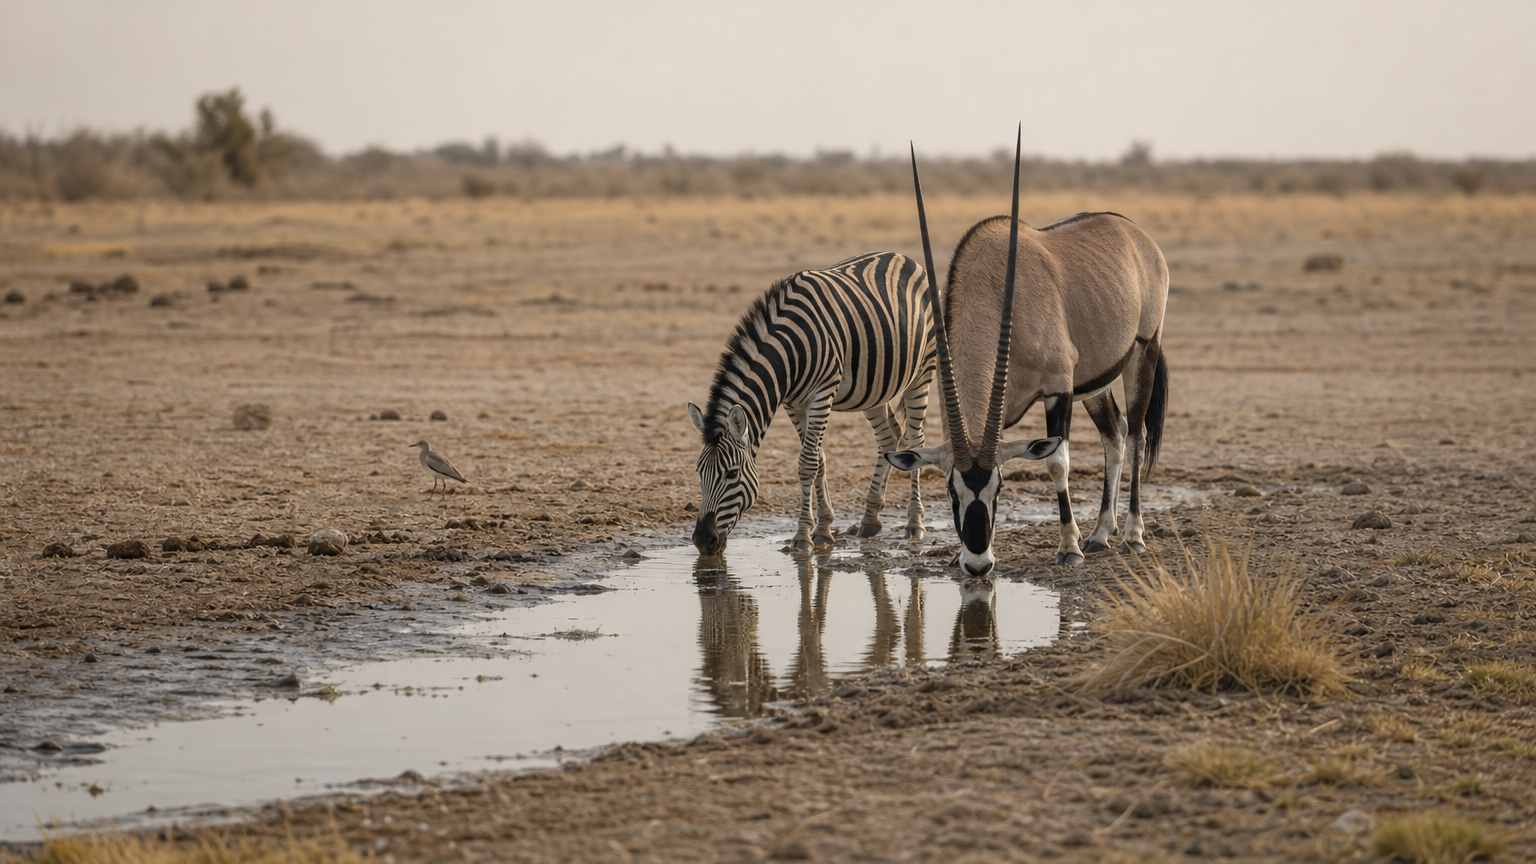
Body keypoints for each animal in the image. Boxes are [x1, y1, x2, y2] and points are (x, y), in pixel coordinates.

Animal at [689, 251, 936, 555]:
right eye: (699, 472)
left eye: (732, 474)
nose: (703, 540)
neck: (789, 351)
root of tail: (903, 256)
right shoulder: (794, 404)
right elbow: (819, 460)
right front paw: (823, 530)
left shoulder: (821, 393)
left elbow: (807, 463)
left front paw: (803, 537)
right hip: (876, 387)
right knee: (889, 438)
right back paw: (870, 519)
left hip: (922, 373)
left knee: (914, 440)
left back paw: (914, 524)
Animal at [888, 129, 1170, 575]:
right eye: (951, 492)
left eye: (999, 488)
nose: (978, 564)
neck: (992, 288)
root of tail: (1134, 233)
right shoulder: (1005, 410)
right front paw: (957, 554)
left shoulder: (1057, 389)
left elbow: (1057, 462)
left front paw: (1068, 547)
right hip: (1092, 384)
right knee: (1115, 433)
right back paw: (1100, 534)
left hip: (1144, 350)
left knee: (1138, 433)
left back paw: (1132, 535)